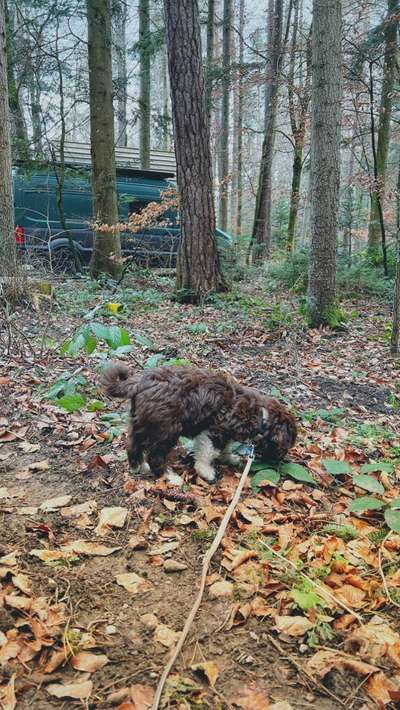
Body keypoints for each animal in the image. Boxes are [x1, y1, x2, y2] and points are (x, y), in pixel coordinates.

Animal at [102, 368, 296, 484]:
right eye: (284, 448)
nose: (280, 461)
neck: (261, 415)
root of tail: (140, 383)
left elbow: (225, 447)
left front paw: (228, 458)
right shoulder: (214, 431)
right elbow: (209, 452)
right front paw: (206, 471)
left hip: (141, 423)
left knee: (132, 445)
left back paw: (138, 467)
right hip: (167, 429)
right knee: (155, 456)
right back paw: (169, 477)